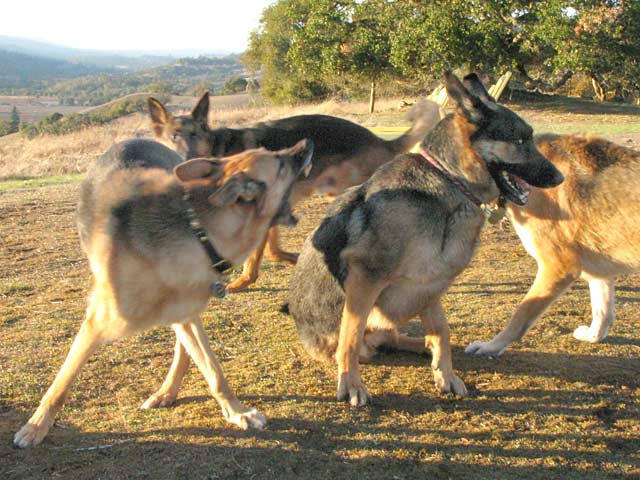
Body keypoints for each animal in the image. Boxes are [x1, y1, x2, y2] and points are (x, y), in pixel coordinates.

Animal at [13, 136, 314, 446]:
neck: (199, 234)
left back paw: (167, 391)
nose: (307, 142)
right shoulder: (97, 322)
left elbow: (214, 370)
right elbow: (62, 381)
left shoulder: (184, 312)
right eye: (279, 162)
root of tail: (136, 137)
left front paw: (236, 412)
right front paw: (36, 426)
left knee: (185, 349)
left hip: (183, 310)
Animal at [147, 93, 438, 288]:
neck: (220, 149)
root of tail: (380, 141)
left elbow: (256, 255)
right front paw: (289, 258)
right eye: (173, 136)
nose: (184, 158)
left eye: (195, 135)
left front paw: (243, 281)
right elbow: (272, 248)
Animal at [284, 73, 560, 406]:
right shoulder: (365, 279)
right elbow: (350, 337)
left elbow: (442, 331)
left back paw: (420, 345)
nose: (560, 178)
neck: (448, 180)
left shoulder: (431, 285)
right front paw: (351, 384)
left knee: (393, 337)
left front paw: (445, 374)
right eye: (520, 141)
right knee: (361, 342)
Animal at [464, 132, 640, 356]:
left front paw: (491, 347)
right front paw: (593, 336)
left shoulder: (558, 265)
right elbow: (602, 311)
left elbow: (520, 316)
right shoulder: (598, 271)